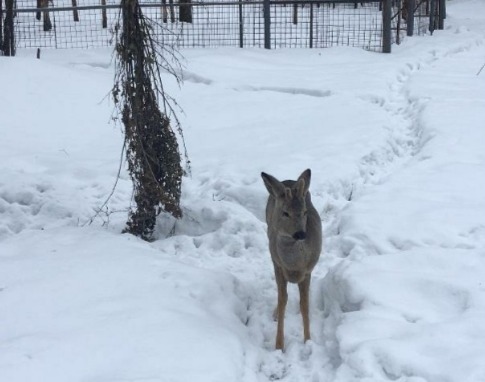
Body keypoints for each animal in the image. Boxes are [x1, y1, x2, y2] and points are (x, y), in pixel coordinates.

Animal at [260, 169, 322, 350]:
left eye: (305, 212)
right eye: (285, 213)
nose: (301, 234)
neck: (294, 265)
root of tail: (287, 181)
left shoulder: (308, 271)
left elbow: (304, 305)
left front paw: (308, 340)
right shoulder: (278, 266)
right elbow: (283, 301)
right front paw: (279, 345)